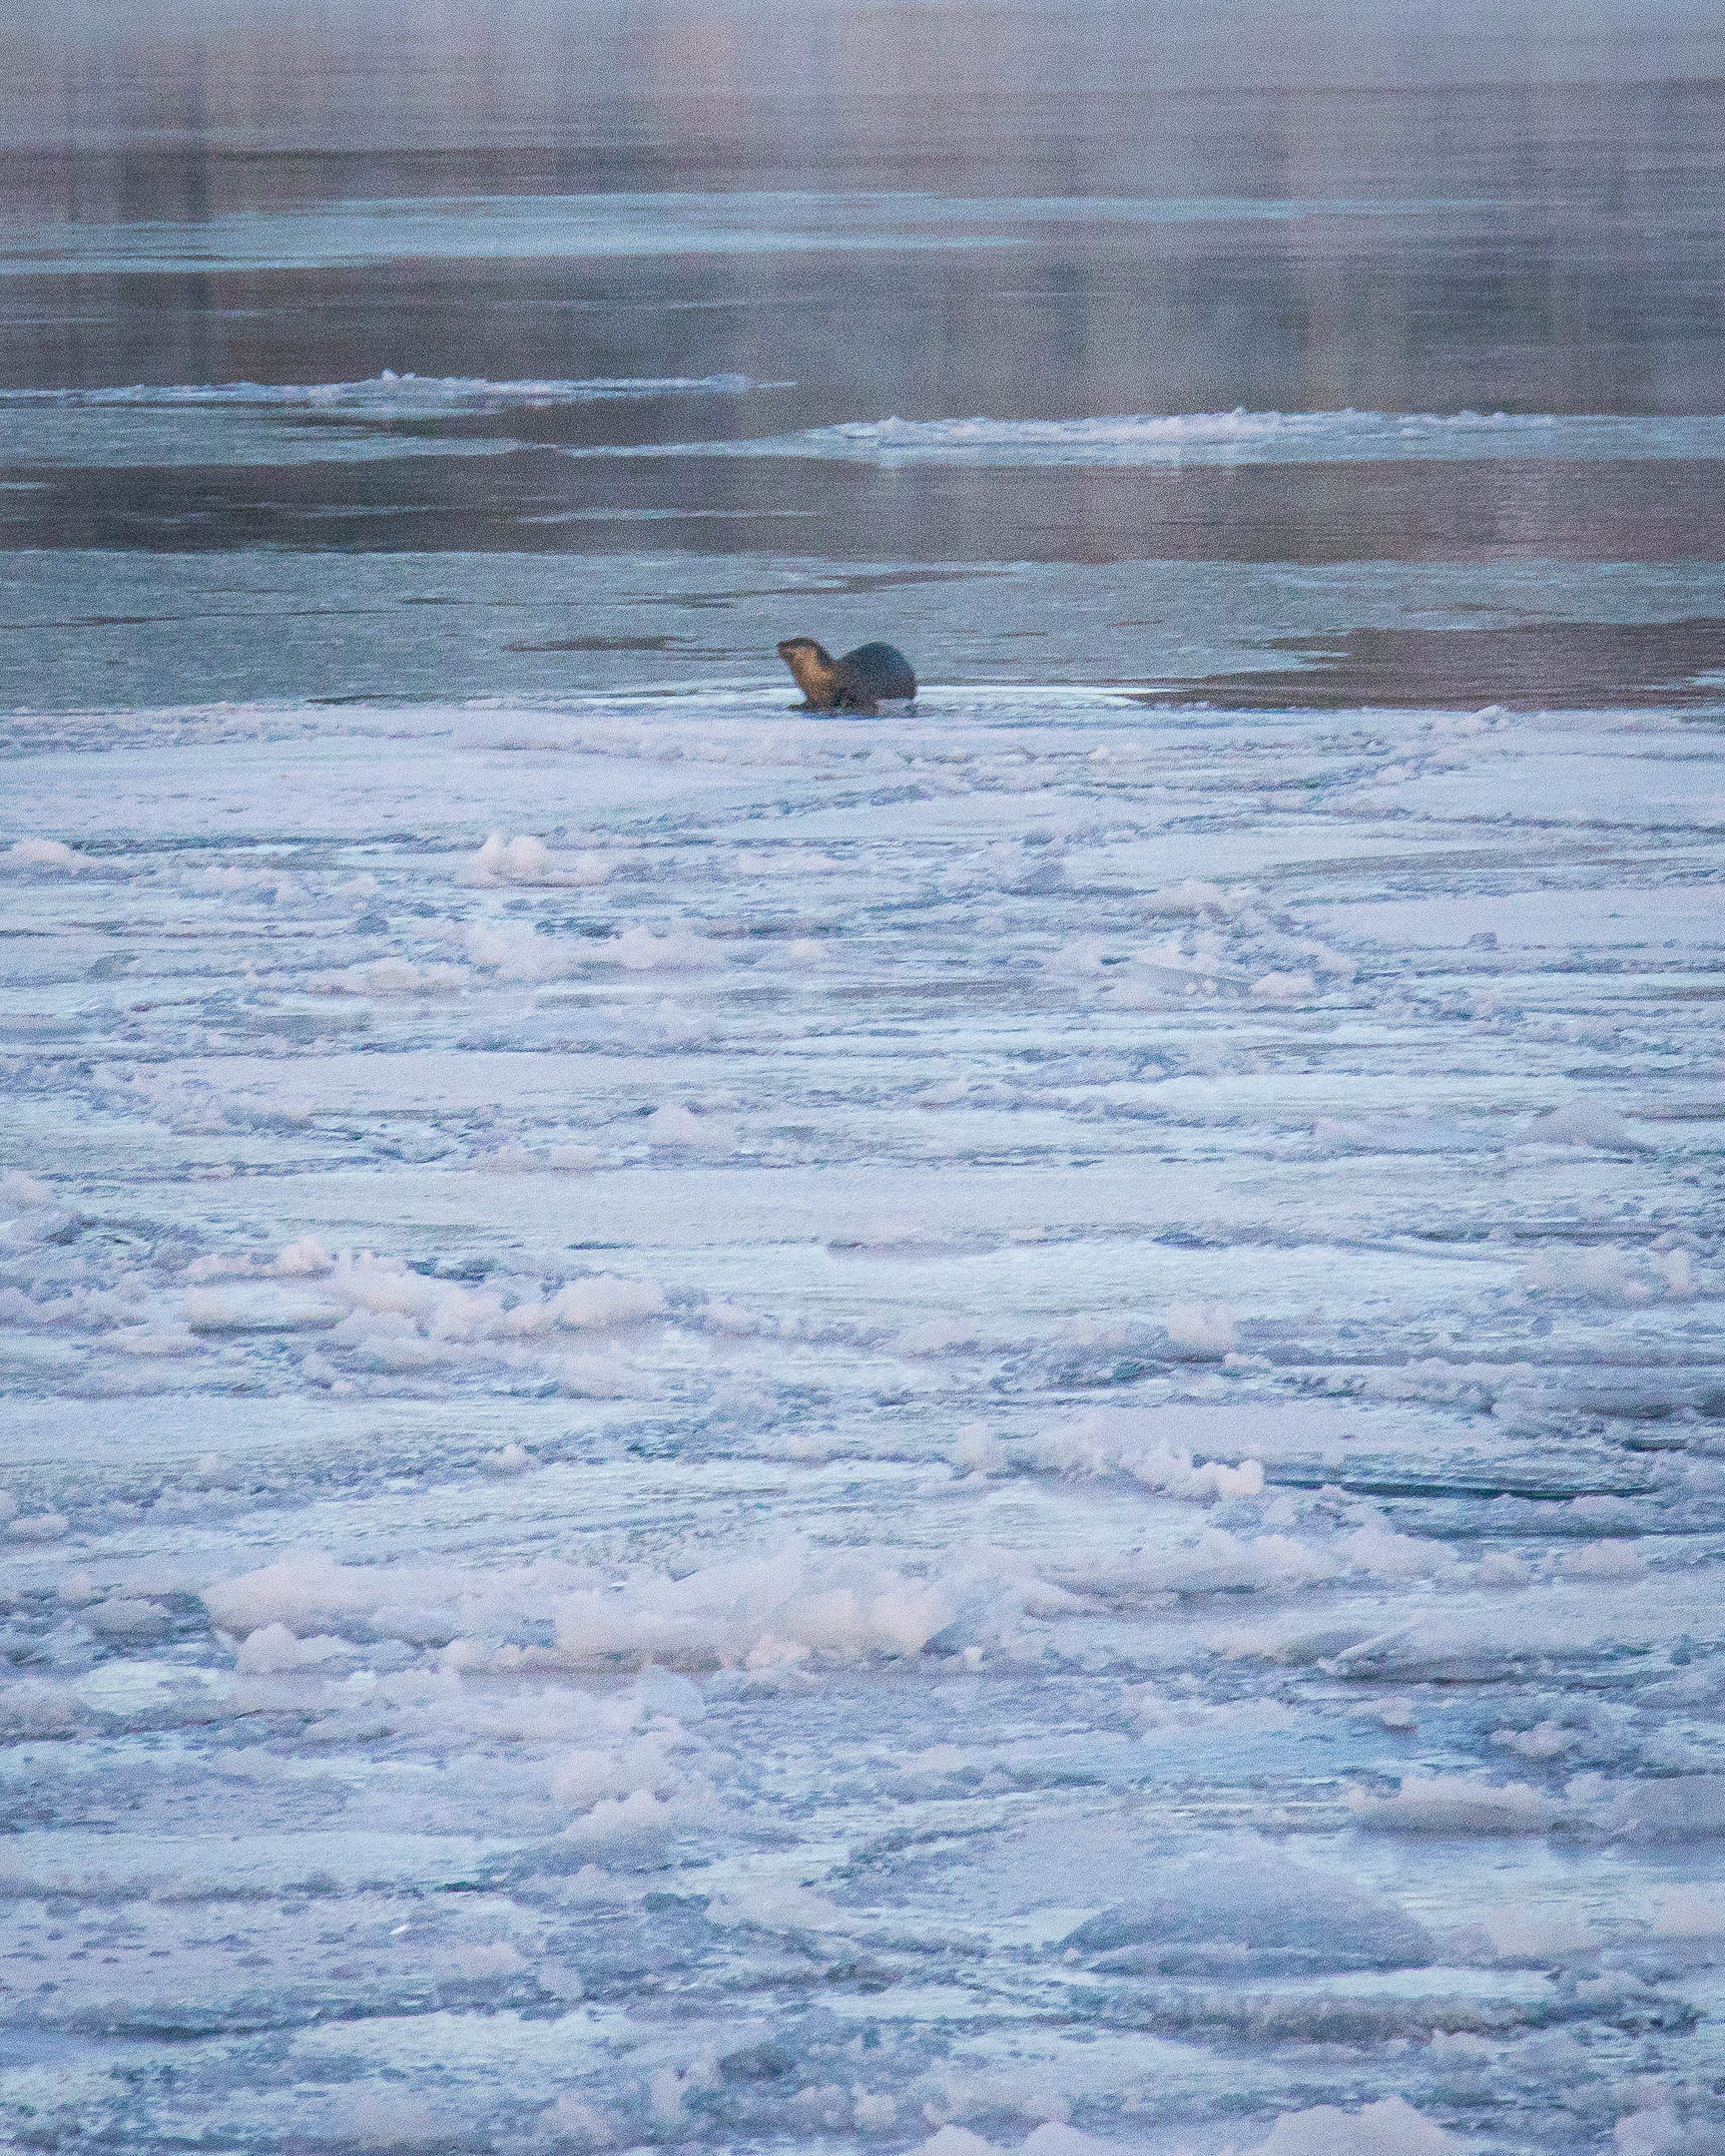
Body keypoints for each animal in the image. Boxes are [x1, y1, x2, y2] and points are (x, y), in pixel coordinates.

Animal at [776, 637, 917, 714]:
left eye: (794, 641)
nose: (779, 643)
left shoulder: (851, 684)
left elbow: (849, 694)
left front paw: (844, 704)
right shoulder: (811, 692)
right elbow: (809, 700)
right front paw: (797, 705)